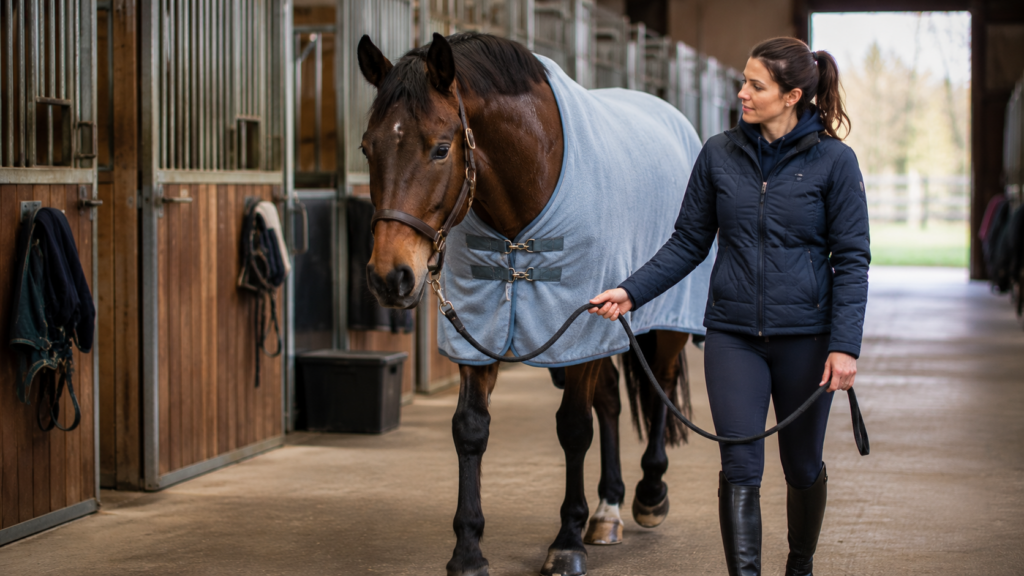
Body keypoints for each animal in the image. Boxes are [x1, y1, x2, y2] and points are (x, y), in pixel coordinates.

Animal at [357, 31, 710, 576]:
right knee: (611, 401)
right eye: (366, 147)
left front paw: (566, 542)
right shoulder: (483, 329)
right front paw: (468, 551)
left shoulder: (581, 324)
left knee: (661, 387)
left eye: (441, 149)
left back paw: (649, 495)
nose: (389, 276)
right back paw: (607, 510)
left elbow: (574, 428)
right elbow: (471, 429)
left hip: (659, 322)